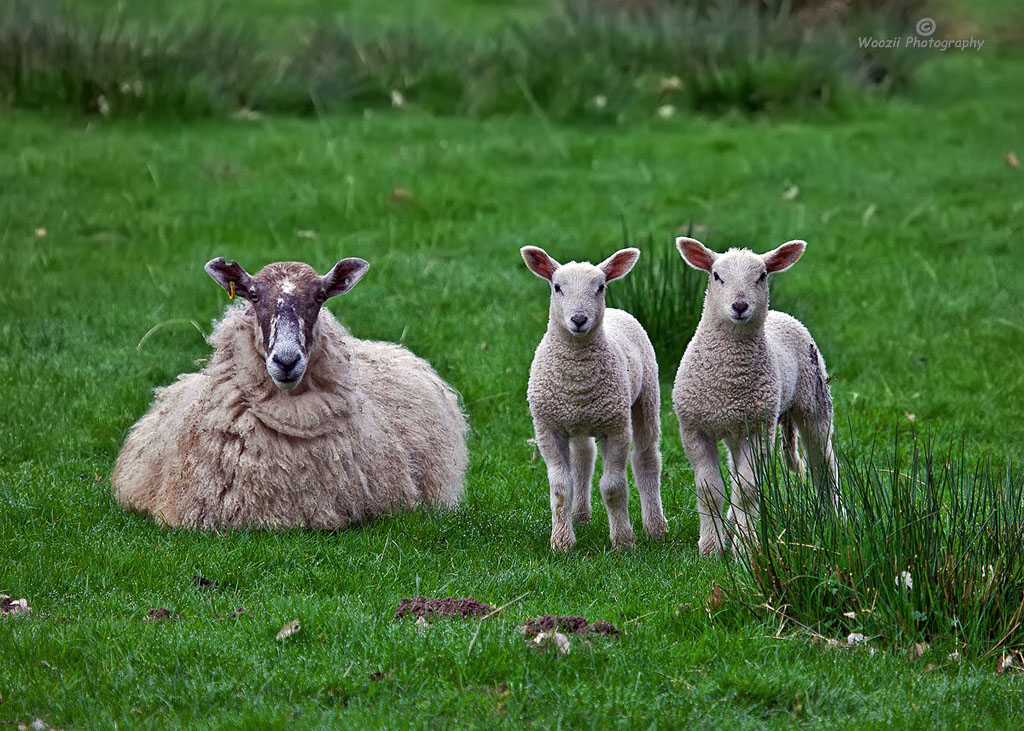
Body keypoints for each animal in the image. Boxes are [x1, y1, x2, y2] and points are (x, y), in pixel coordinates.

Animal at [520, 244, 671, 548]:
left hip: (647, 397)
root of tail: (615, 311)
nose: (579, 319)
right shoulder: (548, 428)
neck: (578, 376)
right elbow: (560, 488)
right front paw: (561, 542)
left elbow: (613, 487)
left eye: (600, 287)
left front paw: (624, 541)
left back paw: (655, 528)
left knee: (647, 459)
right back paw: (579, 515)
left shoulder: (616, 428)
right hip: (579, 420)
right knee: (583, 457)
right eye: (557, 287)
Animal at [671, 236, 839, 556]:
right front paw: (711, 548)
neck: (728, 379)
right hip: (738, 429)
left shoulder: (759, 430)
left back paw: (836, 519)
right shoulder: (695, 428)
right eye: (716, 275)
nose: (740, 306)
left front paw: (745, 548)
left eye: (761, 276)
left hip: (814, 402)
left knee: (823, 463)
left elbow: (748, 490)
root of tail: (781, 314)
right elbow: (710, 490)